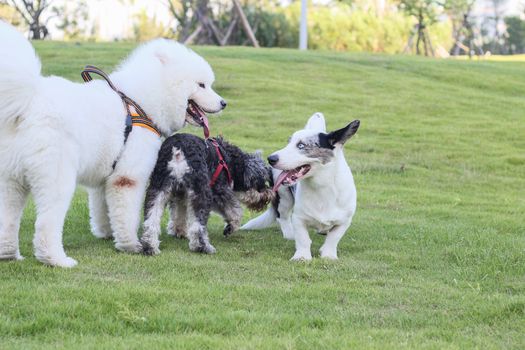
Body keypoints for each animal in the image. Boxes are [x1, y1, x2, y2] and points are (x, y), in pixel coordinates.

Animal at [0, 21, 224, 268]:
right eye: (202, 85)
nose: (223, 103)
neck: (141, 102)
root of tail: (27, 101)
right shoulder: (128, 178)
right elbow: (128, 215)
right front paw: (131, 245)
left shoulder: (105, 177)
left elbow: (103, 209)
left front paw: (107, 234)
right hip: (57, 179)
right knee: (46, 223)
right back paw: (57, 259)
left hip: (11, 181)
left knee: (8, 220)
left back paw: (9, 254)